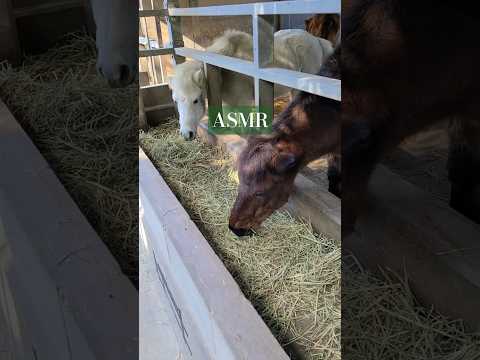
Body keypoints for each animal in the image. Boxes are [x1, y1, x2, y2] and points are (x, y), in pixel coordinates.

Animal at [169, 29, 334, 140]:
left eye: (196, 100)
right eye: (175, 100)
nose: (186, 134)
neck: (224, 66)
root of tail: (315, 39)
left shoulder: (244, 104)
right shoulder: (228, 104)